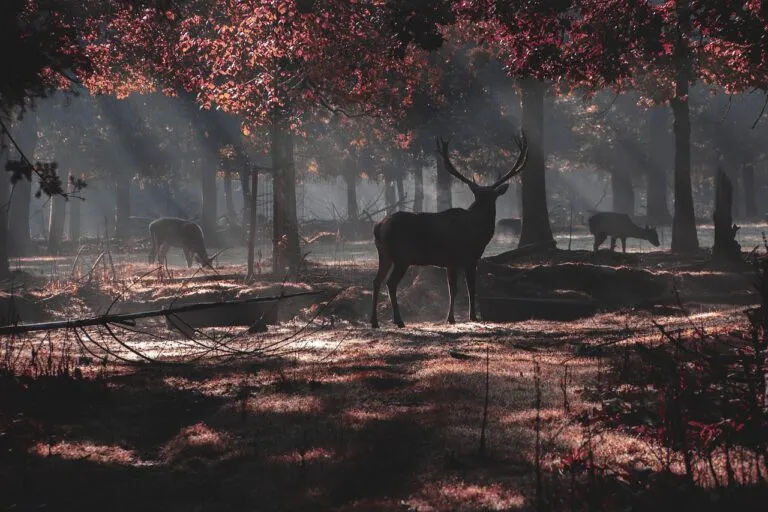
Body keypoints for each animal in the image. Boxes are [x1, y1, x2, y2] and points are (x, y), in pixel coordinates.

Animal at [370, 132, 528, 328]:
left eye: (491, 197)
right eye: (486, 196)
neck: (478, 232)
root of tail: (379, 226)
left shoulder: (450, 262)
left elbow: (452, 289)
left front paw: (450, 318)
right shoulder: (469, 257)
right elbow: (469, 288)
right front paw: (472, 317)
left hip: (384, 255)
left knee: (376, 280)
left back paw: (374, 321)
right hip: (401, 256)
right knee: (390, 283)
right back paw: (398, 321)